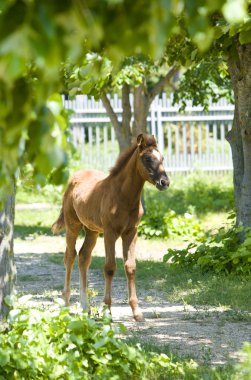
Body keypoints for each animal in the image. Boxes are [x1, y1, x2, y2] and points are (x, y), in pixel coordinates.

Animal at [52, 134, 170, 320]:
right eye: (147, 158)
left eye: (162, 158)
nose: (164, 182)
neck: (124, 197)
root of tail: (73, 177)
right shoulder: (110, 233)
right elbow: (109, 268)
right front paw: (107, 310)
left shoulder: (131, 232)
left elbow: (130, 267)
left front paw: (137, 311)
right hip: (73, 225)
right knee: (70, 256)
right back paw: (66, 303)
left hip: (92, 230)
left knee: (84, 257)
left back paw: (85, 307)